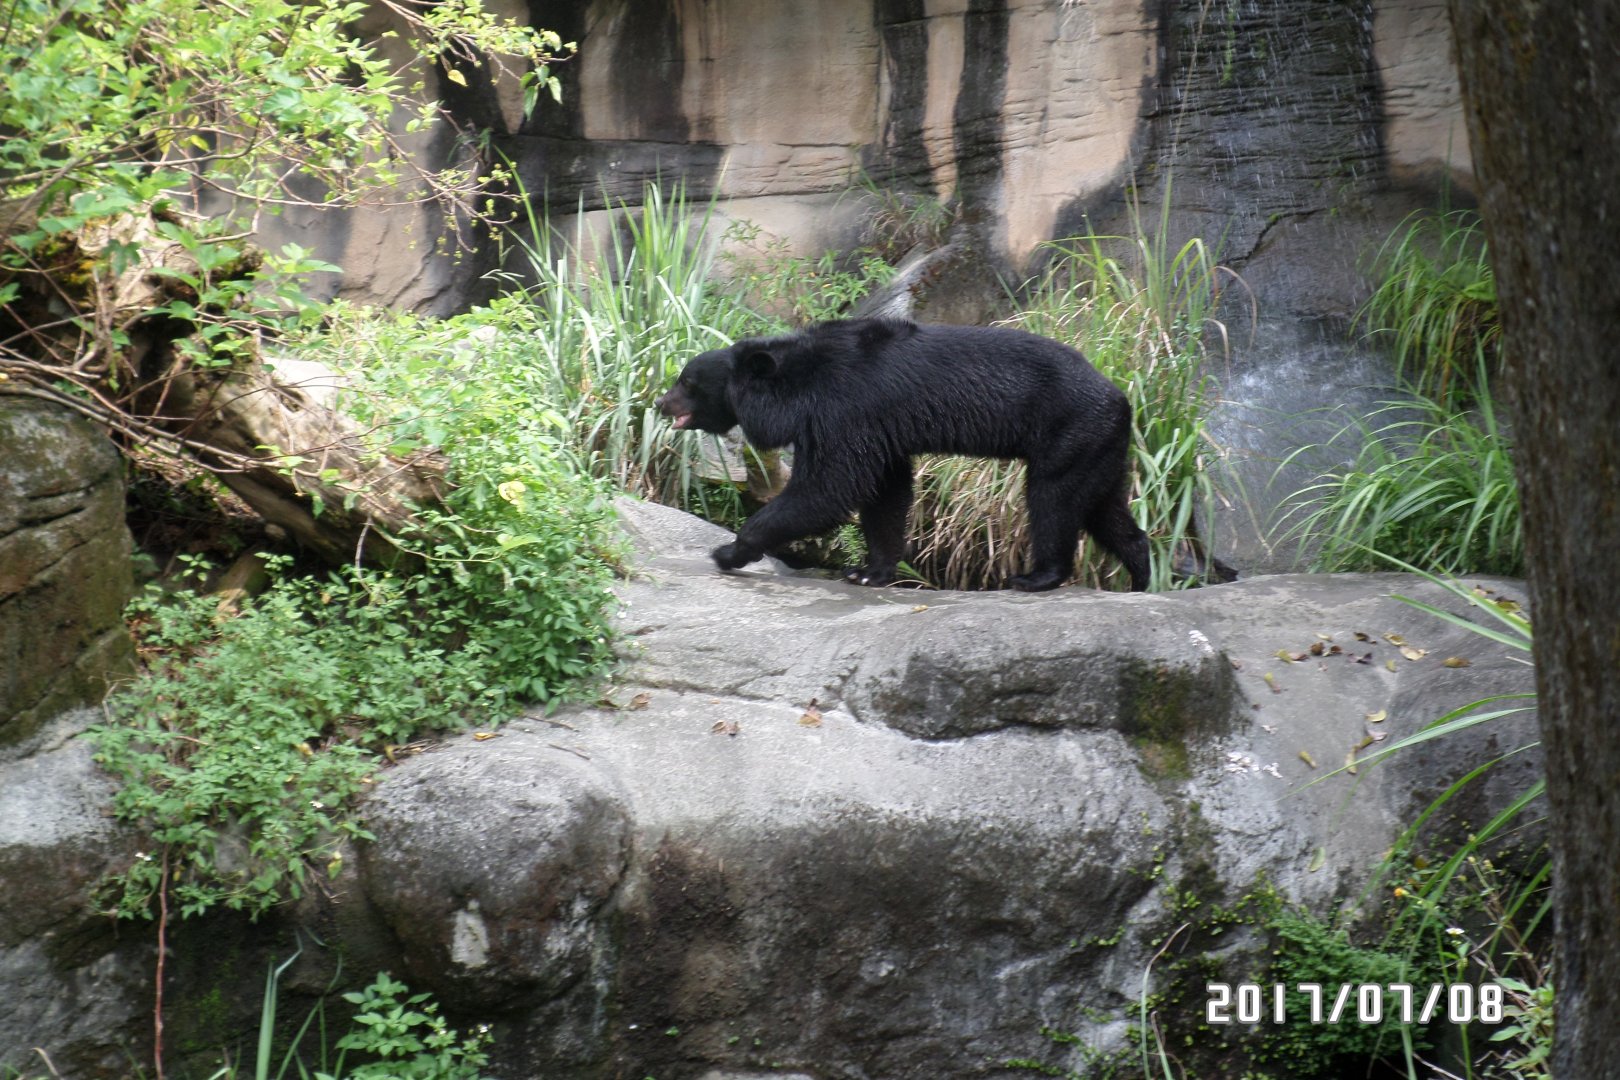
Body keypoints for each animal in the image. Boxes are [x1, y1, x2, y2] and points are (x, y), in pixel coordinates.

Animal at [654, 317, 1152, 592]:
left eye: (688, 382)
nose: (660, 403)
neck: (798, 383)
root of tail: (1122, 399)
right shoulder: (879, 429)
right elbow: (885, 493)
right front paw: (868, 572)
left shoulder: (845, 410)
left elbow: (828, 487)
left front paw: (729, 550)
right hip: (1098, 447)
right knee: (1104, 509)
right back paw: (1140, 577)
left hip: (1067, 432)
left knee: (1052, 501)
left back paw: (1035, 577)